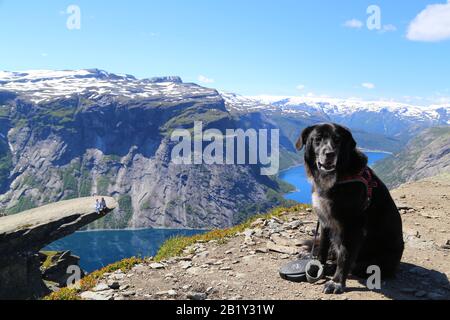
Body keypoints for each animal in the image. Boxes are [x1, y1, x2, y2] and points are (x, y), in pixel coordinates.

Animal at [296, 124, 404, 294]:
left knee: (353, 265)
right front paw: (318, 267)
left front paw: (336, 282)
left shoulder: (352, 227)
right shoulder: (325, 221)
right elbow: (323, 249)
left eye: (337, 140)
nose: (330, 154)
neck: (338, 178)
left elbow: (345, 257)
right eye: (317, 139)